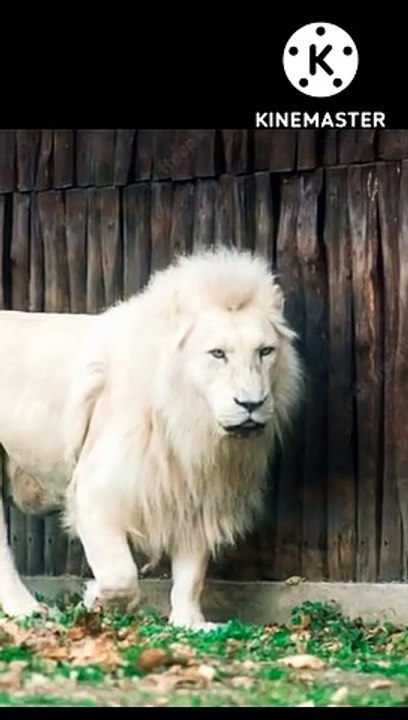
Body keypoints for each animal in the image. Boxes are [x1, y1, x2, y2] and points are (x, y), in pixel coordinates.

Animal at [0, 248, 303, 628]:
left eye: (265, 351)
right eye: (218, 353)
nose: (252, 404)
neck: (189, 422)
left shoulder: (198, 496)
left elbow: (191, 574)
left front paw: (190, 623)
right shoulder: (95, 492)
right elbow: (120, 575)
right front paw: (94, 599)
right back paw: (26, 609)